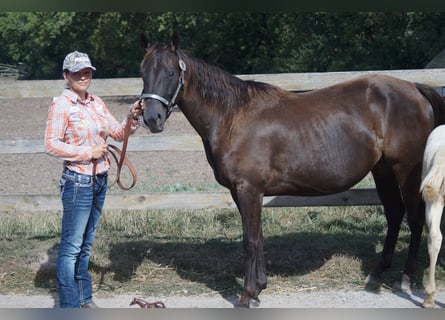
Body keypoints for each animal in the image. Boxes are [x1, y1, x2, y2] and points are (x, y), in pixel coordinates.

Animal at [139, 33, 444, 308]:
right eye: (143, 73)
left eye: (170, 72)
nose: (152, 118)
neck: (232, 116)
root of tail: (415, 88)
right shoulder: (244, 192)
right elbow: (258, 237)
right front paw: (259, 287)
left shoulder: (248, 189)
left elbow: (250, 240)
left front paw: (247, 295)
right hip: (382, 171)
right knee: (394, 215)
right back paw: (377, 273)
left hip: (405, 170)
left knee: (415, 219)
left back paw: (404, 278)